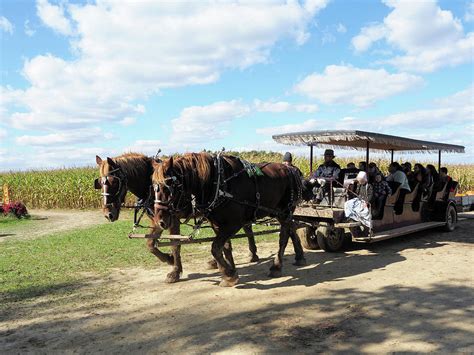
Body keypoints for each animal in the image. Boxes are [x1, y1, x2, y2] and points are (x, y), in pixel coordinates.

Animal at [93, 153, 260, 284]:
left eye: (114, 182)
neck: (150, 187)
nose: (108, 214)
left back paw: (252, 254)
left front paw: (174, 270)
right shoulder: (158, 220)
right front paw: (169, 259)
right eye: (99, 183)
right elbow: (150, 244)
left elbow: (175, 244)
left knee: (246, 227)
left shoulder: (172, 219)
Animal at [152, 152, 308, 288]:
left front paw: (228, 275)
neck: (217, 182)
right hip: (277, 212)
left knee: (284, 236)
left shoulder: (233, 224)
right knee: (291, 228)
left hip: (285, 211)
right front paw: (231, 271)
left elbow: (215, 247)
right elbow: (225, 247)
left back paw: (276, 266)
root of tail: (290, 169)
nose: (160, 221)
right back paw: (299, 256)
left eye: (169, 186)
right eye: (153, 187)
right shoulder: (217, 224)